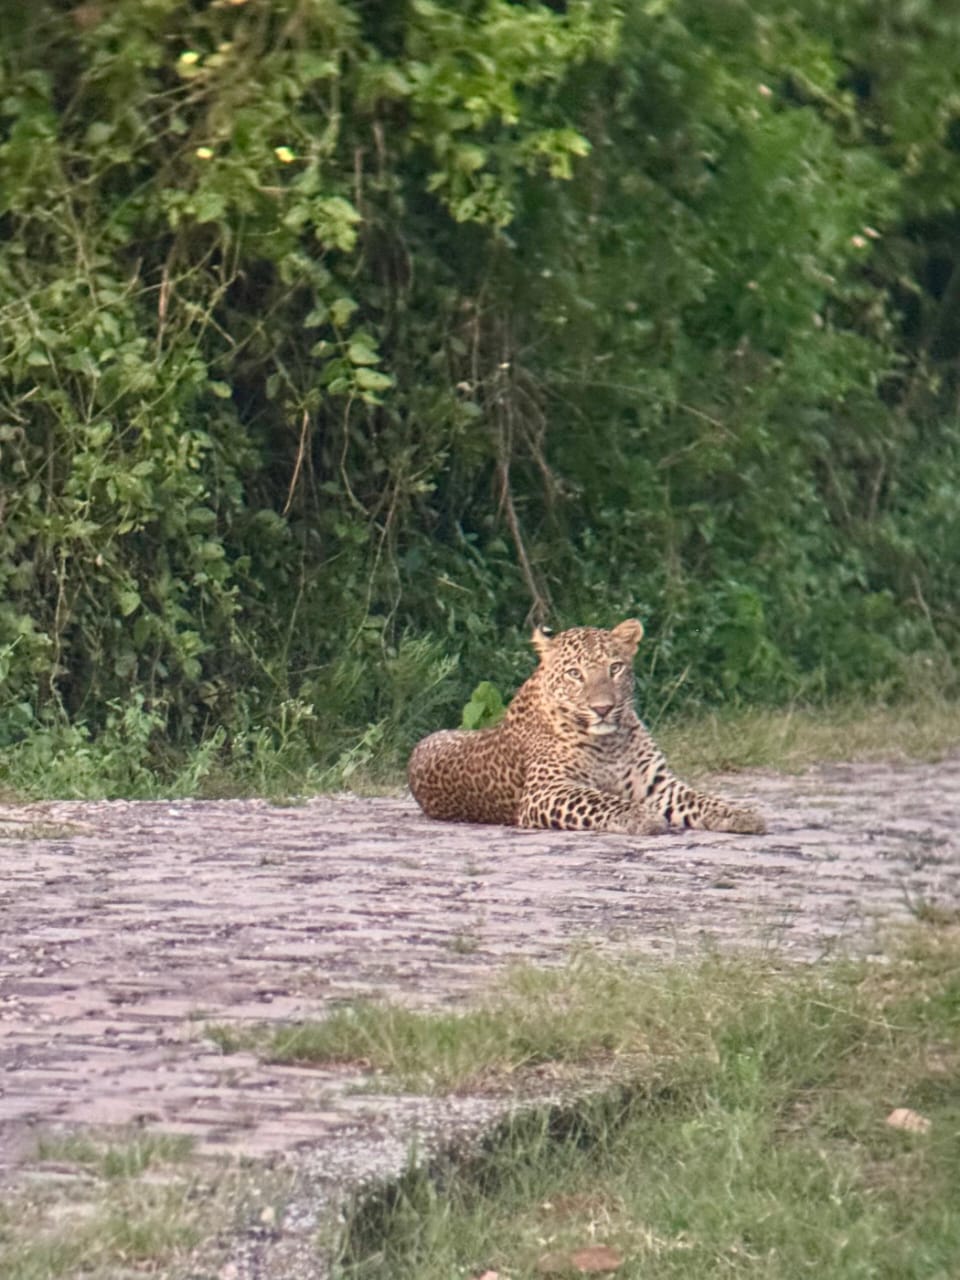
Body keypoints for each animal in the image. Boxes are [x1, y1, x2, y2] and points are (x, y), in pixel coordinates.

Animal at [409, 619, 773, 839]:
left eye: (615, 668)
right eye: (574, 673)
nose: (603, 708)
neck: (609, 743)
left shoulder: (656, 784)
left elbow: (700, 798)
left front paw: (740, 814)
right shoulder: (546, 790)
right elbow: (601, 800)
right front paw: (642, 817)